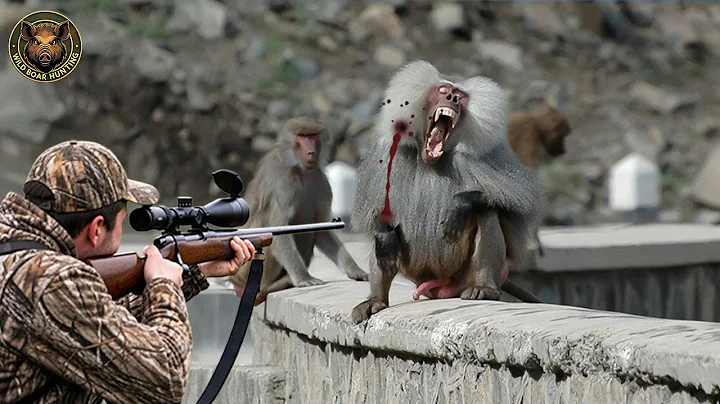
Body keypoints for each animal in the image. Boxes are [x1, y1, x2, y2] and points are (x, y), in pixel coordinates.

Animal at [229, 116, 369, 305]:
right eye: (301, 137)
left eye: (312, 136)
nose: (311, 153)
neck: (300, 170)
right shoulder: (283, 185)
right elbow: (279, 231)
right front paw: (303, 279)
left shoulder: (322, 182)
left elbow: (321, 230)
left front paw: (354, 269)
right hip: (246, 268)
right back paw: (274, 285)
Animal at [350, 60, 545, 324]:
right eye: (443, 91)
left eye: (460, 96)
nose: (452, 97)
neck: (430, 160)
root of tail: (441, 287)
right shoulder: (386, 152)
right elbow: (376, 216)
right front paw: (383, 236)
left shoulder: (491, 156)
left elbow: (521, 205)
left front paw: (460, 205)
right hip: (415, 271)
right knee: (383, 245)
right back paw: (375, 299)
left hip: (462, 276)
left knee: (486, 211)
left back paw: (484, 288)